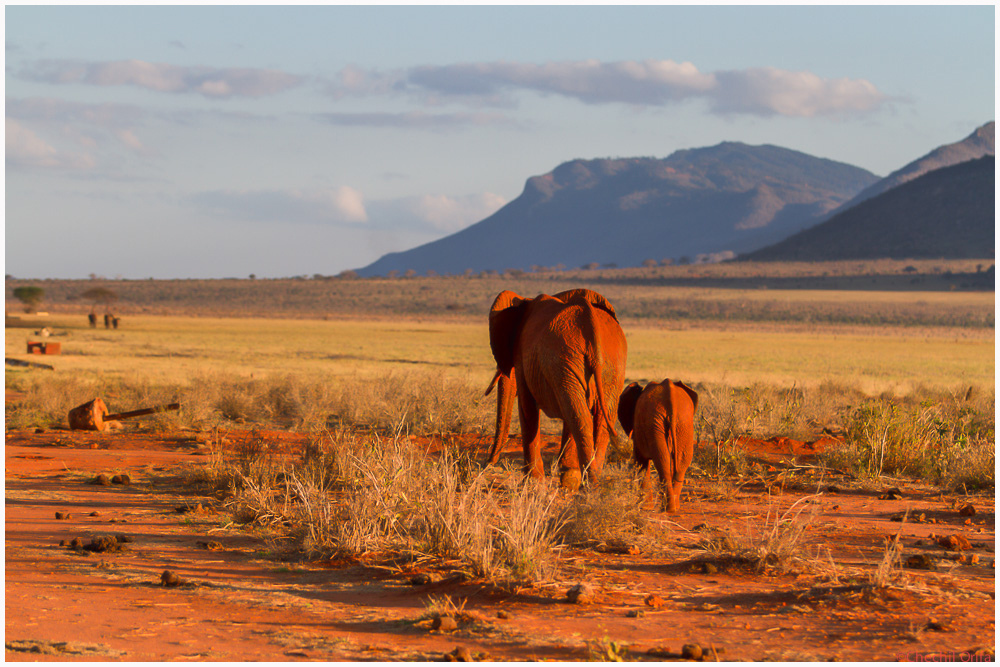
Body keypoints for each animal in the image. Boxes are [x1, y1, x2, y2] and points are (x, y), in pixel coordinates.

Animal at [482, 290, 624, 488]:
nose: (487, 465)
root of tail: (591, 321)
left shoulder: (522, 356)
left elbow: (526, 407)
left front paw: (532, 482)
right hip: (608, 364)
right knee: (595, 417)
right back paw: (590, 481)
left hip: (565, 359)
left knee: (578, 414)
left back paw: (585, 483)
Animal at [616, 378, 696, 516]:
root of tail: (671, 399)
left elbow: (640, 461)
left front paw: (644, 508)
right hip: (682, 424)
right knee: (681, 461)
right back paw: (673, 508)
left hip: (660, 423)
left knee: (663, 461)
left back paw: (668, 509)